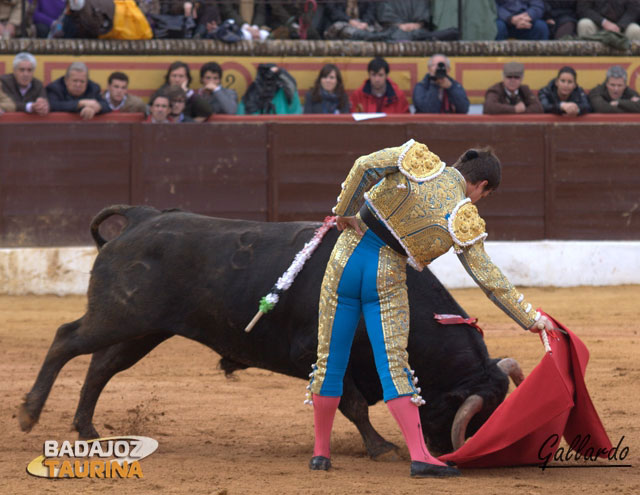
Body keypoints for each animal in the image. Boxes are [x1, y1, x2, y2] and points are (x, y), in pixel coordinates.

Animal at [17, 204, 524, 458]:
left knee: (101, 366)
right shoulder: (315, 353)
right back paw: (29, 413)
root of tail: (142, 218)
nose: (449, 452)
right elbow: (352, 403)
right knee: (66, 340)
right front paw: (381, 447)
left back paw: (87, 429)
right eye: (470, 416)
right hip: (119, 316)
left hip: (142, 330)